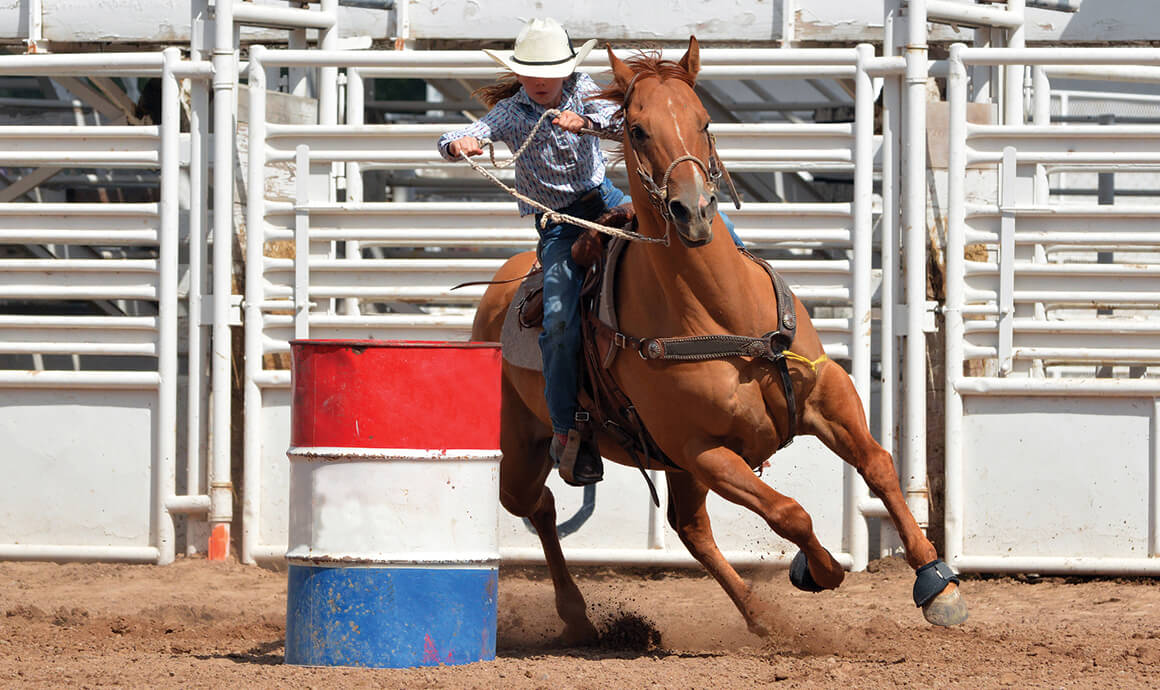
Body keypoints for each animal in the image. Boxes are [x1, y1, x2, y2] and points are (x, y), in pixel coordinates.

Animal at [466, 36, 965, 644]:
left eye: (704, 121)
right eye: (637, 129)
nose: (693, 211)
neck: (721, 313)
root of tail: (499, 291)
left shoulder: (827, 393)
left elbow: (878, 464)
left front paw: (936, 582)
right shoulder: (702, 451)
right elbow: (789, 512)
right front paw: (818, 569)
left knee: (687, 528)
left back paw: (759, 615)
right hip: (525, 448)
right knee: (537, 504)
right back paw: (578, 615)